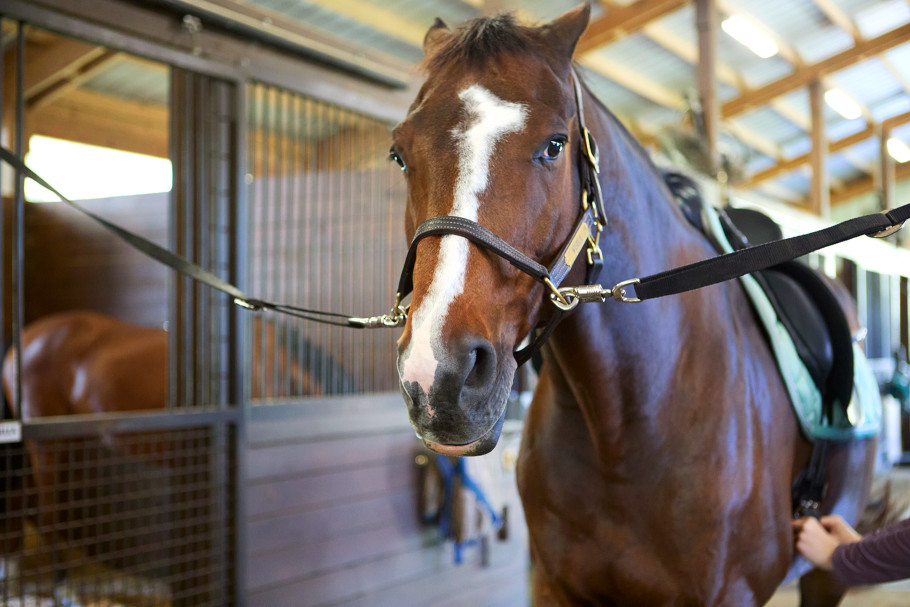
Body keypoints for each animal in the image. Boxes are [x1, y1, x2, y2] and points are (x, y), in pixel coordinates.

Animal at [392, 5, 876, 607]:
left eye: (555, 145)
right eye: (399, 155)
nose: (439, 375)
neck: (624, 424)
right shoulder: (554, 586)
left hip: (827, 568)